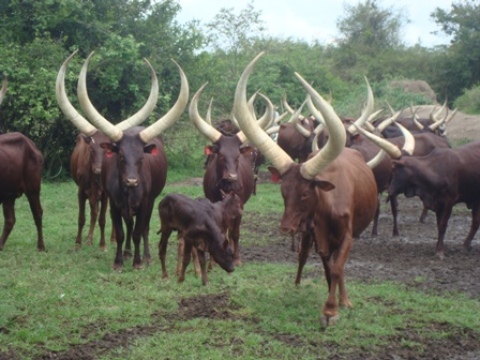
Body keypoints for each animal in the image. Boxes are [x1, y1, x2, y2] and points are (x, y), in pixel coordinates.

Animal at [233, 52, 378, 326]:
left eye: (305, 193)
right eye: (283, 192)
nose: (286, 227)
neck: (328, 208)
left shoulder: (347, 236)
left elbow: (337, 268)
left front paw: (332, 309)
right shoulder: (318, 237)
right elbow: (329, 269)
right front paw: (331, 304)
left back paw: (345, 299)